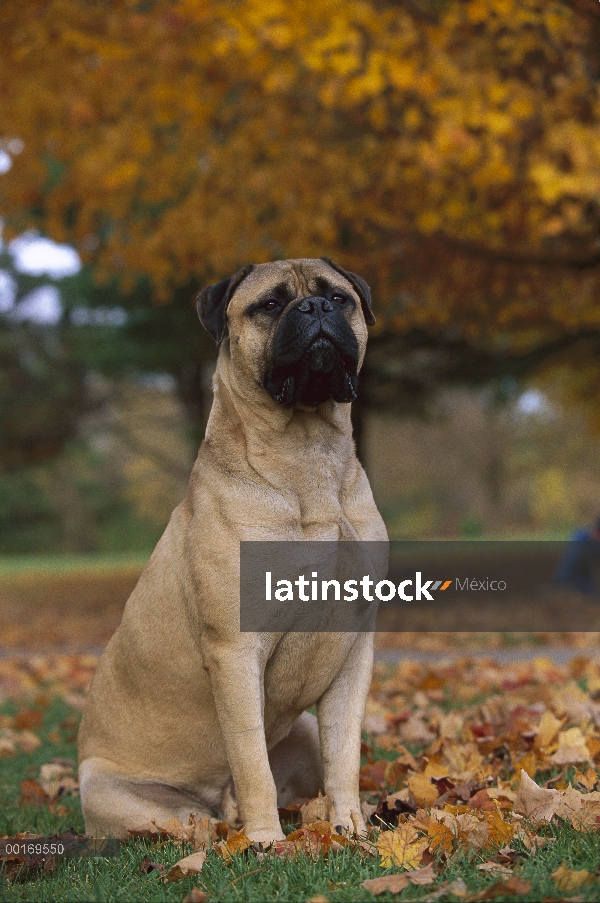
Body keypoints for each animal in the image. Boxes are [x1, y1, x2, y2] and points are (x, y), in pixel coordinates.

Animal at [78, 256, 390, 848]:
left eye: (339, 298)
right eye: (269, 305)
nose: (315, 307)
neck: (306, 454)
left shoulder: (353, 653)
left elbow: (345, 753)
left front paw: (350, 827)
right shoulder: (235, 652)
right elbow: (250, 761)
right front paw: (267, 840)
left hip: (303, 730)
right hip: (133, 800)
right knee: (199, 818)